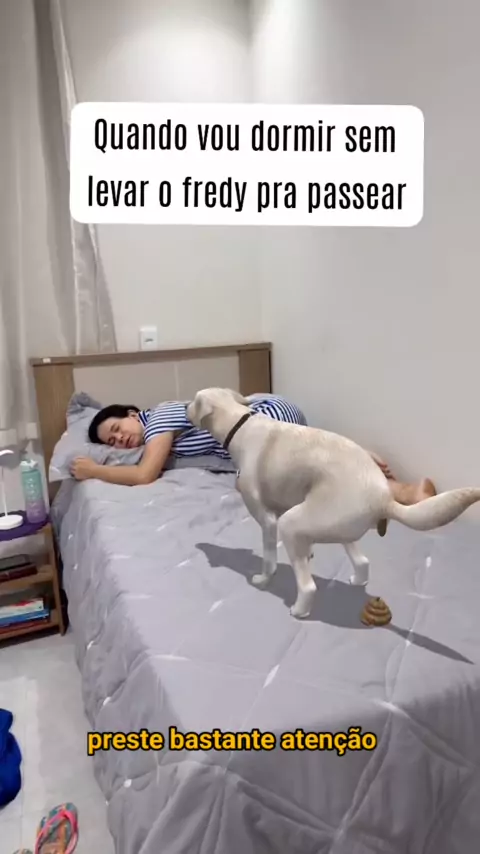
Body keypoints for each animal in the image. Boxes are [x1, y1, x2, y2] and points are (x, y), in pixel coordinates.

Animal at [187, 388, 480, 618]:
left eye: (193, 400)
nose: (185, 407)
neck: (241, 424)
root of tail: (384, 498)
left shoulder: (269, 519)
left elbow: (269, 558)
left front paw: (262, 579)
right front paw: (308, 555)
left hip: (291, 523)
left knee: (308, 586)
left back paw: (299, 611)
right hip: (338, 528)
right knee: (362, 562)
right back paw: (355, 581)